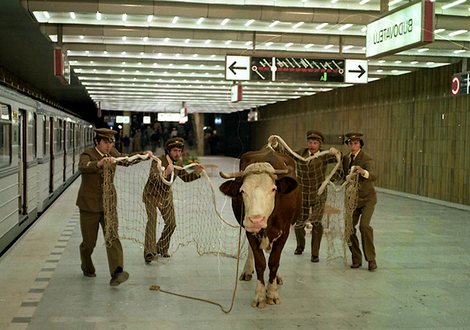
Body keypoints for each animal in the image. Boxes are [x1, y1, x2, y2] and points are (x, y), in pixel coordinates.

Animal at [220, 148, 302, 308]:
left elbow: (274, 262)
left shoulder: (284, 232)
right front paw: (259, 296)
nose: (256, 220)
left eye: (273, 189)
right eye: (242, 191)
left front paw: (272, 293)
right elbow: (260, 263)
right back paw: (247, 271)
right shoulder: (249, 230)